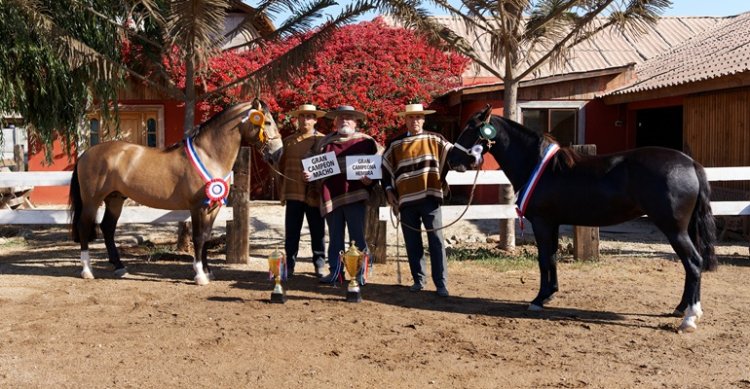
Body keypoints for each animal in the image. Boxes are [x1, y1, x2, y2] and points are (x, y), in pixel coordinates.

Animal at [70, 98, 284, 284]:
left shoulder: (212, 208)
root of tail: (86, 154)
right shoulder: (198, 207)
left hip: (115, 199)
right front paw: (200, 276)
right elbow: (199, 237)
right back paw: (87, 271)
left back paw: (120, 267)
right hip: (92, 200)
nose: (278, 153)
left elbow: (207, 237)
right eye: (267, 122)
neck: (208, 155)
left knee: (108, 228)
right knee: (84, 226)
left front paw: (208, 272)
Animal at [450, 105, 720, 330]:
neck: (538, 166)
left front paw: (538, 299)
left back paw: (689, 318)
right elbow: (552, 258)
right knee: (690, 265)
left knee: (693, 262)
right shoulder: (553, 223)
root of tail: (691, 164)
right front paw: (549, 294)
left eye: (470, 129)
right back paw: (681, 308)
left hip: (674, 229)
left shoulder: (542, 222)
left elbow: (543, 259)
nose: (453, 160)